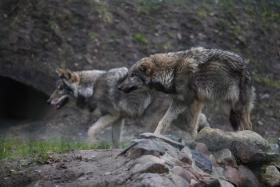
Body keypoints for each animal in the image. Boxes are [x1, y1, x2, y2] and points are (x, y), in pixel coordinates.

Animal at [118, 47, 256, 137]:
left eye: (132, 75)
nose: (119, 87)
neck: (172, 71)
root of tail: (246, 68)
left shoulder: (188, 101)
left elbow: (187, 125)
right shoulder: (190, 101)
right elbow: (167, 122)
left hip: (237, 108)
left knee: (248, 126)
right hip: (229, 108)